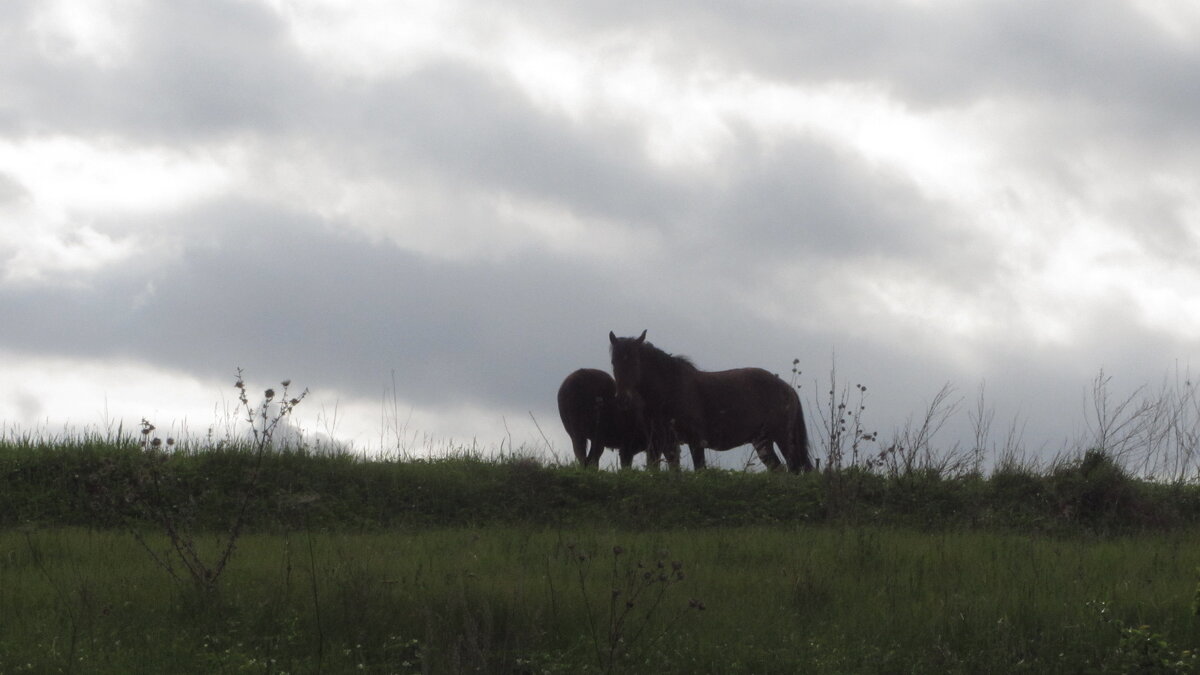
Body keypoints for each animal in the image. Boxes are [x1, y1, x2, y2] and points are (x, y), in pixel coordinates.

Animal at [609, 329, 816, 470]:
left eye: (635, 362)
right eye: (614, 362)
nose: (623, 399)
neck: (670, 388)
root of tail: (786, 388)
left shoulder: (695, 441)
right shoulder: (659, 444)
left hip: (783, 437)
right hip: (763, 441)